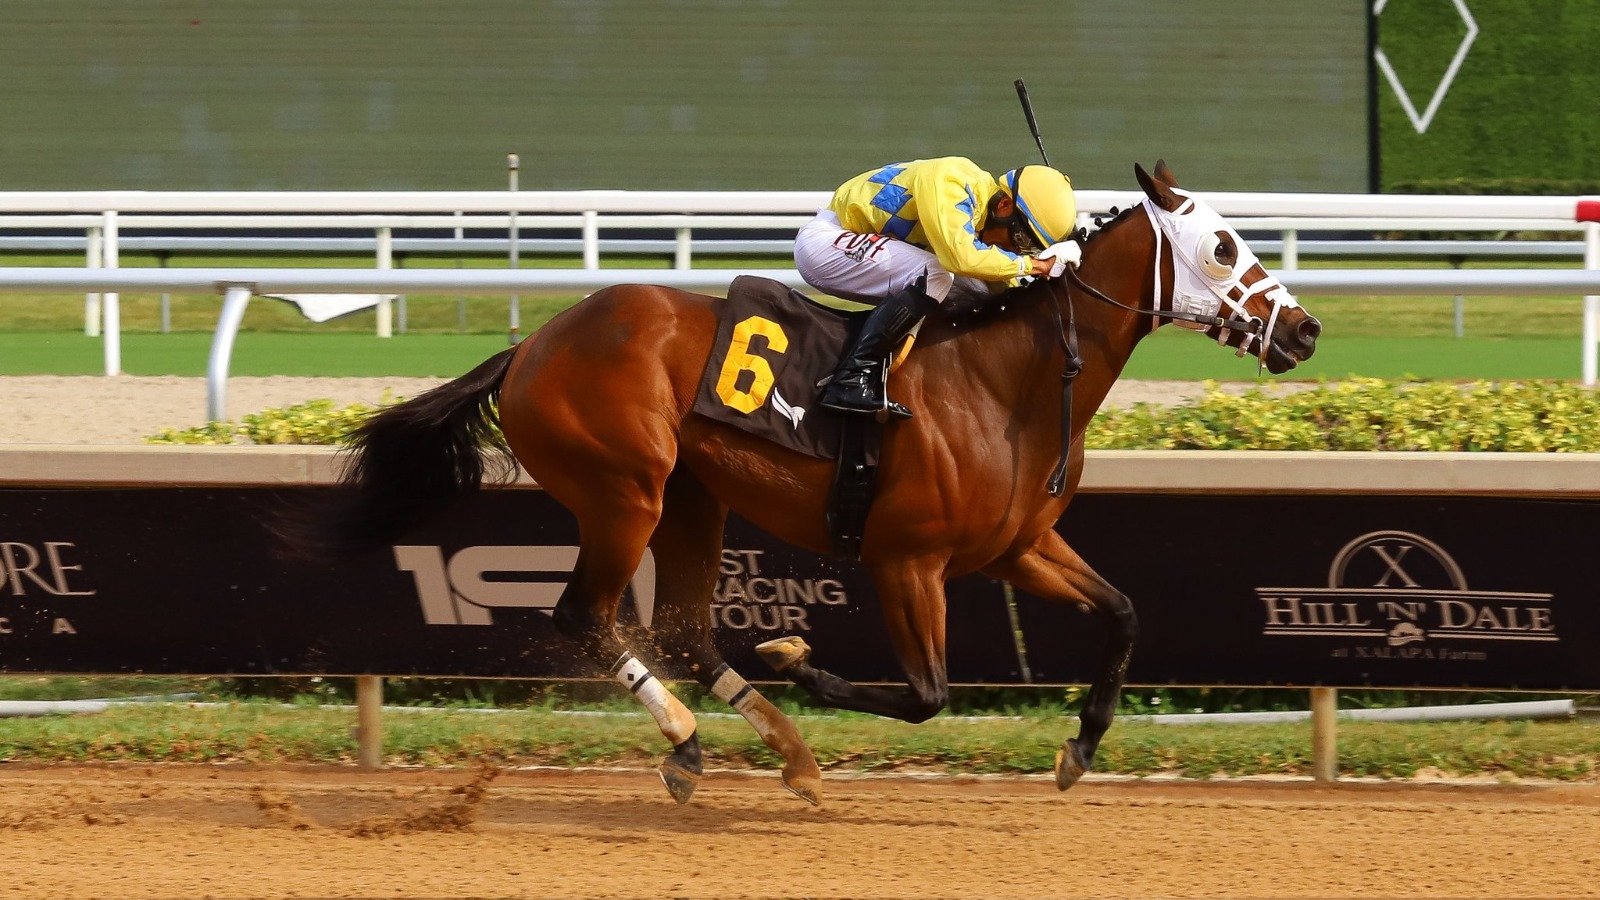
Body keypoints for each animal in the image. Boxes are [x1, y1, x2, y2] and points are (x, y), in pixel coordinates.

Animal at [288, 160, 1321, 806]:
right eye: (1223, 248)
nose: (1306, 331)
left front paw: (1080, 746)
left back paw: (780, 752)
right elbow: (926, 694)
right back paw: (692, 738)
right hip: (625, 491)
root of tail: (534, 343)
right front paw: (791, 651)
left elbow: (1124, 614)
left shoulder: (1016, 547)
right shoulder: (908, 561)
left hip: (692, 499)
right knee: (587, 615)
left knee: (683, 628)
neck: (1007, 381)